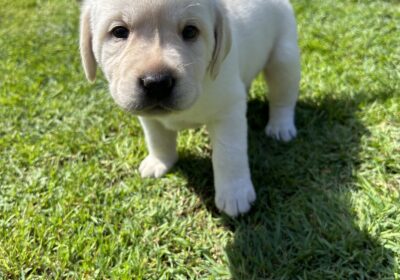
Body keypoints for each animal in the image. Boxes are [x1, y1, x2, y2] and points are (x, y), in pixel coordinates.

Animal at [79, 0, 300, 217]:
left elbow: (229, 155)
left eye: (190, 31)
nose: (157, 83)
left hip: (284, 58)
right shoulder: (149, 117)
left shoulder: (228, 112)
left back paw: (281, 127)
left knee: (282, 97)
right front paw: (160, 161)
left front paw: (234, 193)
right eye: (119, 32)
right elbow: (157, 139)